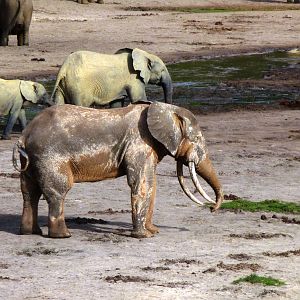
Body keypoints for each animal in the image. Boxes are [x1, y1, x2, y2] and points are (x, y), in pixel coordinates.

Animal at [12, 102, 224, 240]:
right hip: (49, 157)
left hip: (32, 158)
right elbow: (141, 183)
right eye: (197, 138)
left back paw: (30, 233)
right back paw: (63, 236)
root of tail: (24, 135)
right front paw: (144, 237)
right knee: (58, 191)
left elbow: (151, 183)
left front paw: (153, 231)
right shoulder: (139, 143)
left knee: (29, 192)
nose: (212, 209)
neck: (162, 108)